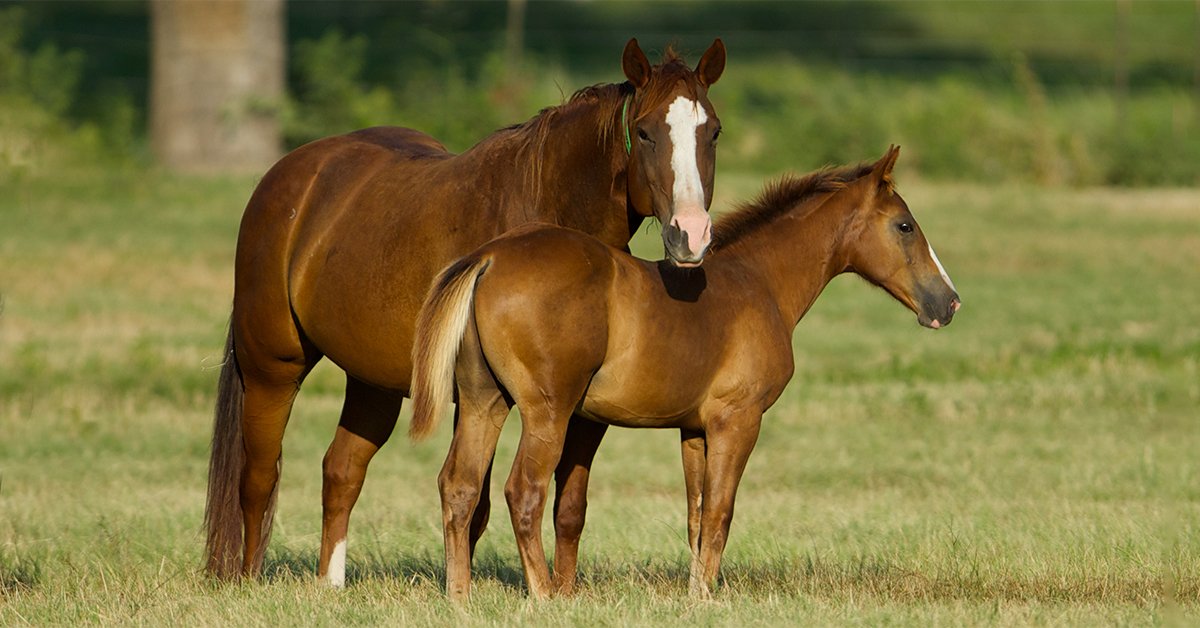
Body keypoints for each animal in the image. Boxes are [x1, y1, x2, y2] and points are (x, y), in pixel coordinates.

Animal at [206, 38, 724, 585]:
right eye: (645, 132)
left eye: (712, 131)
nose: (690, 235)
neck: (539, 209)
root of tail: (292, 173)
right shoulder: (482, 395)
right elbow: (473, 498)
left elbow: (560, 506)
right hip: (272, 369)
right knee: (258, 477)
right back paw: (247, 579)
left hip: (372, 382)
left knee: (341, 471)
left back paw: (332, 586)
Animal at [408, 146, 960, 600]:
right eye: (905, 226)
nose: (948, 302)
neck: (759, 282)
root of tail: (489, 256)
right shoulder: (738, 420)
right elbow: (720, 511)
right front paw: (707, 597)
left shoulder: (694, 429)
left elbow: (696, 512)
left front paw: (697, 592)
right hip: (548, 411)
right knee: (523, 491)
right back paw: (543, 595)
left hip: (484, 401)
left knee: (459, 486)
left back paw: (460, 599)